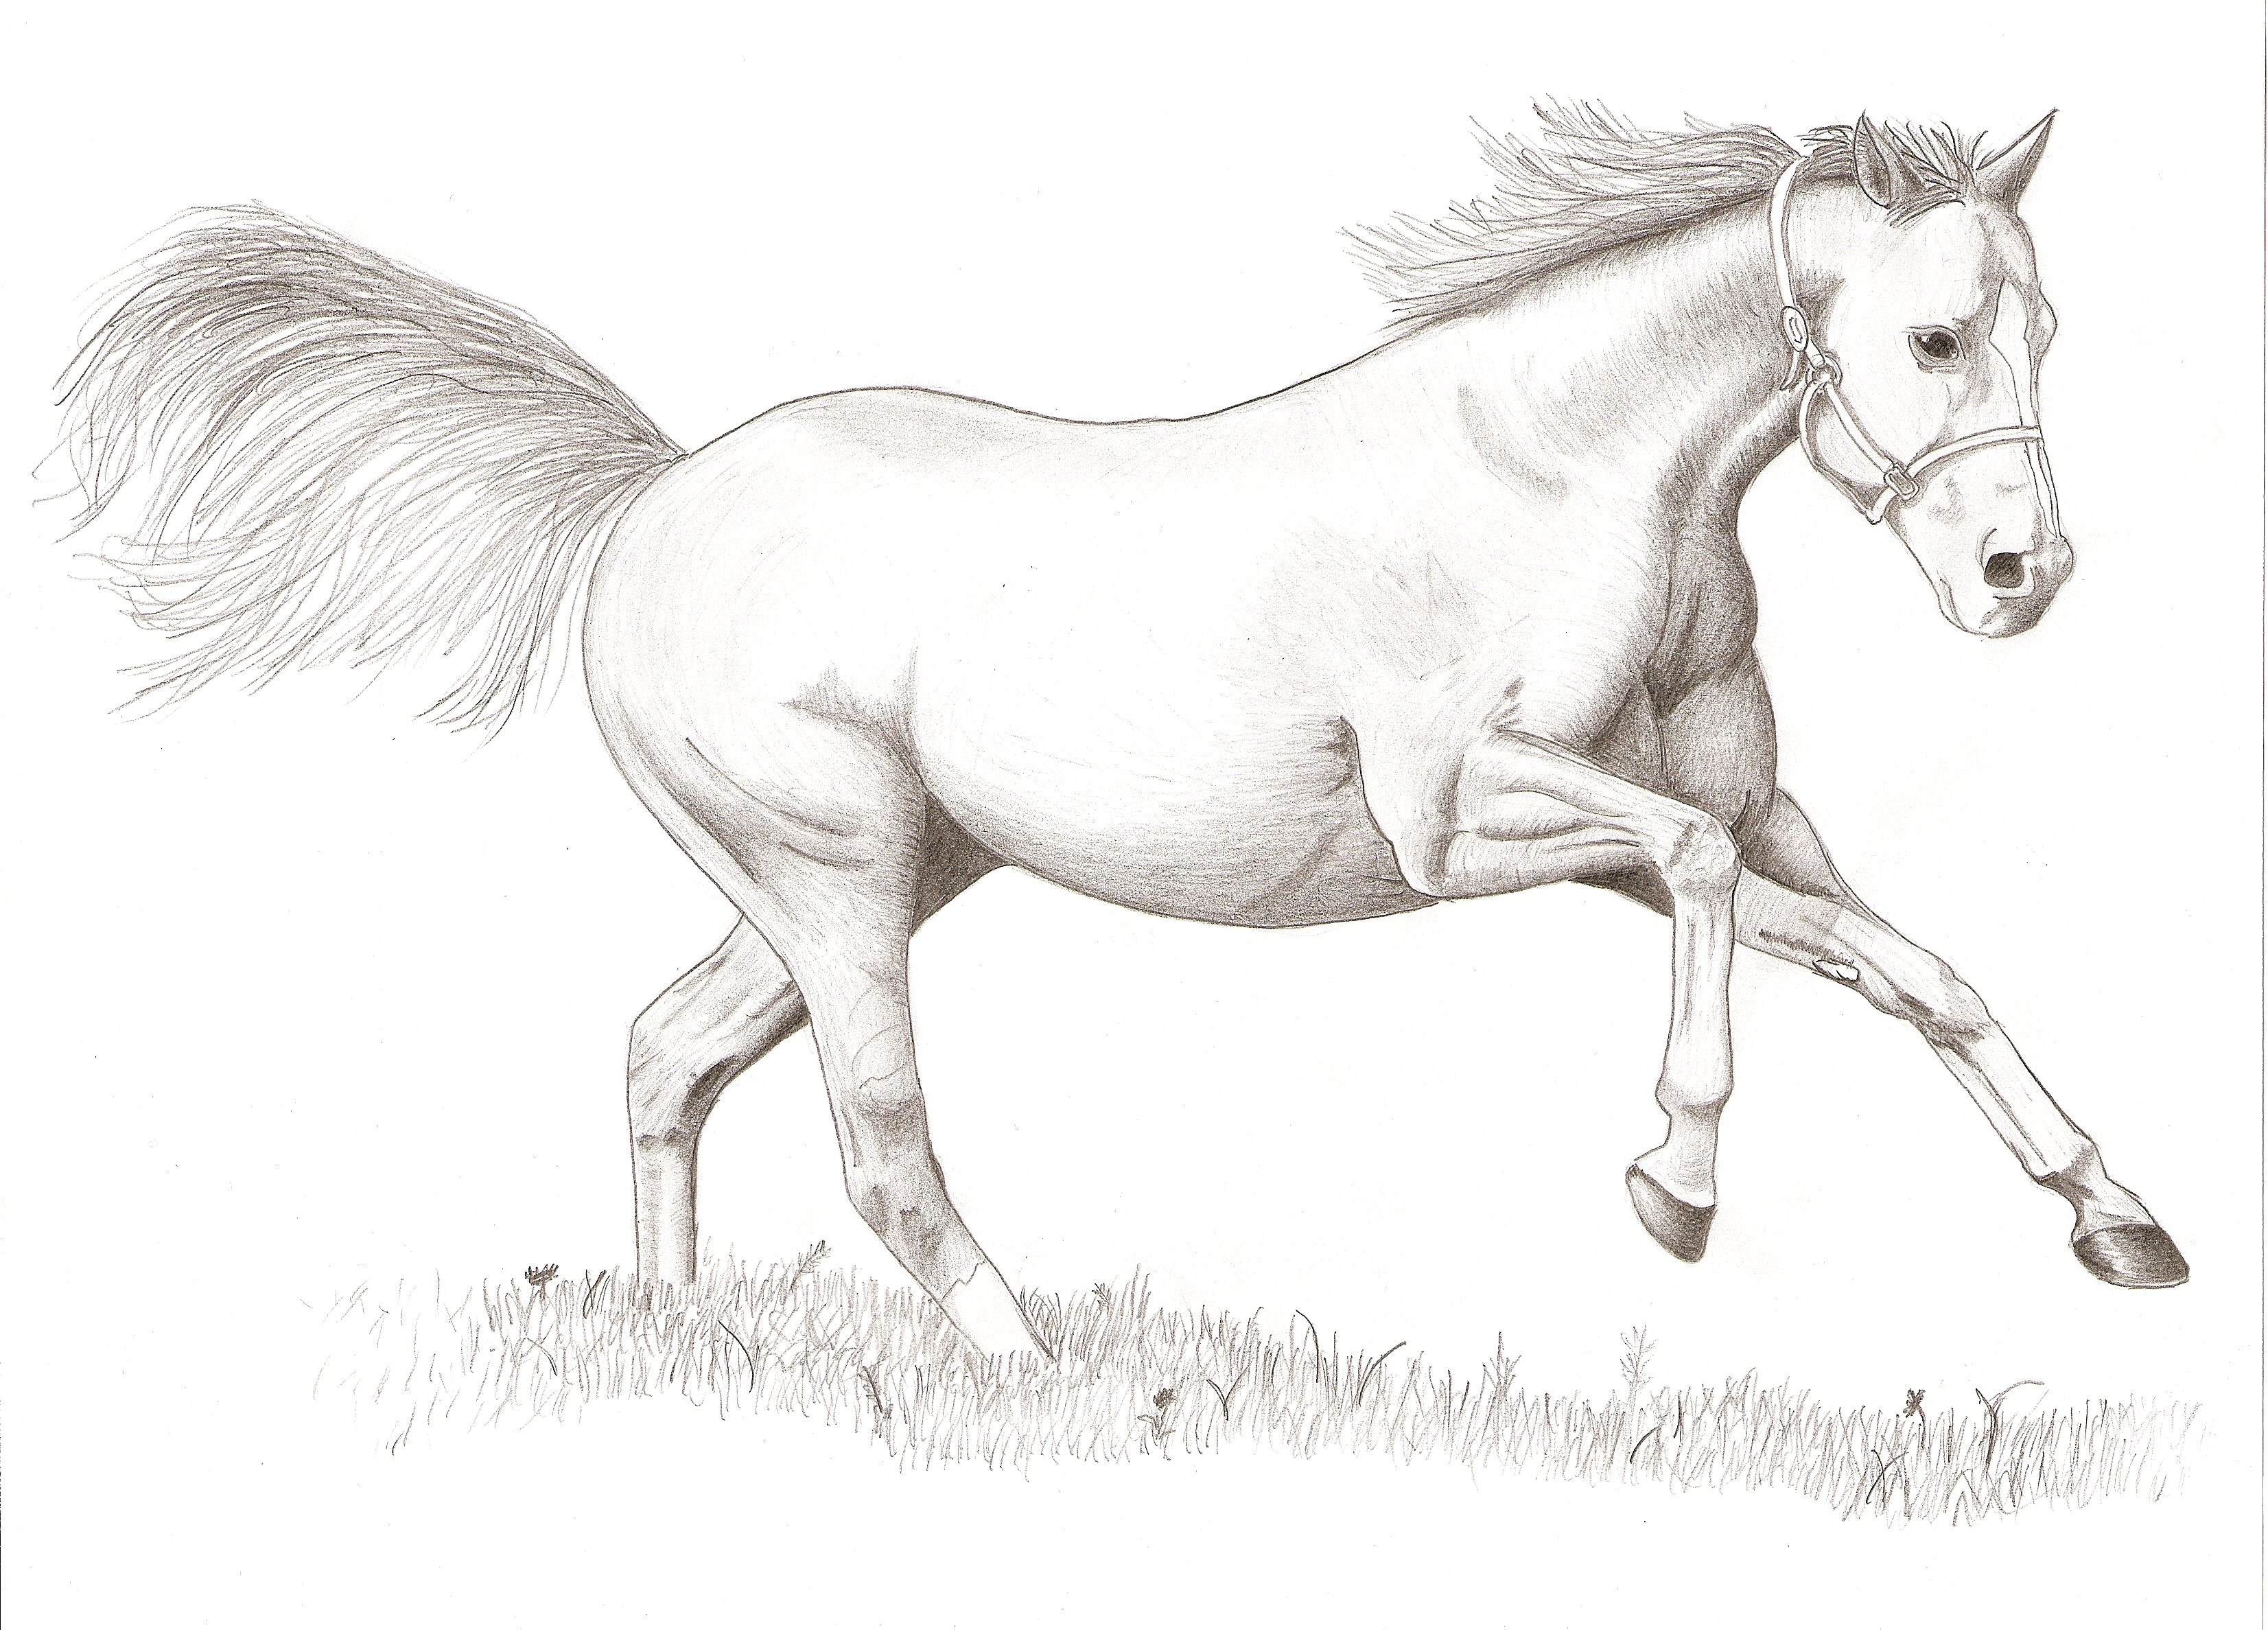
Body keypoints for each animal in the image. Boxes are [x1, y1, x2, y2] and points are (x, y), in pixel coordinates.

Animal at [57, 107, 2188, 1359]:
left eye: (2048, 331)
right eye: (1932, 337)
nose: (2022, 575)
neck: (1580, 474)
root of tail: (655, 488)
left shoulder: (1742, 819)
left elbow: (1911, 965)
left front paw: (2119, 1220)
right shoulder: (1473, 820)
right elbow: (1704, 875)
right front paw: (1674, 1187)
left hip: (870, 874)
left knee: (670, 1049)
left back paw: (675, 1350)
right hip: (836, 876)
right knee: (880, 1144)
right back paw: (1022, 1373)